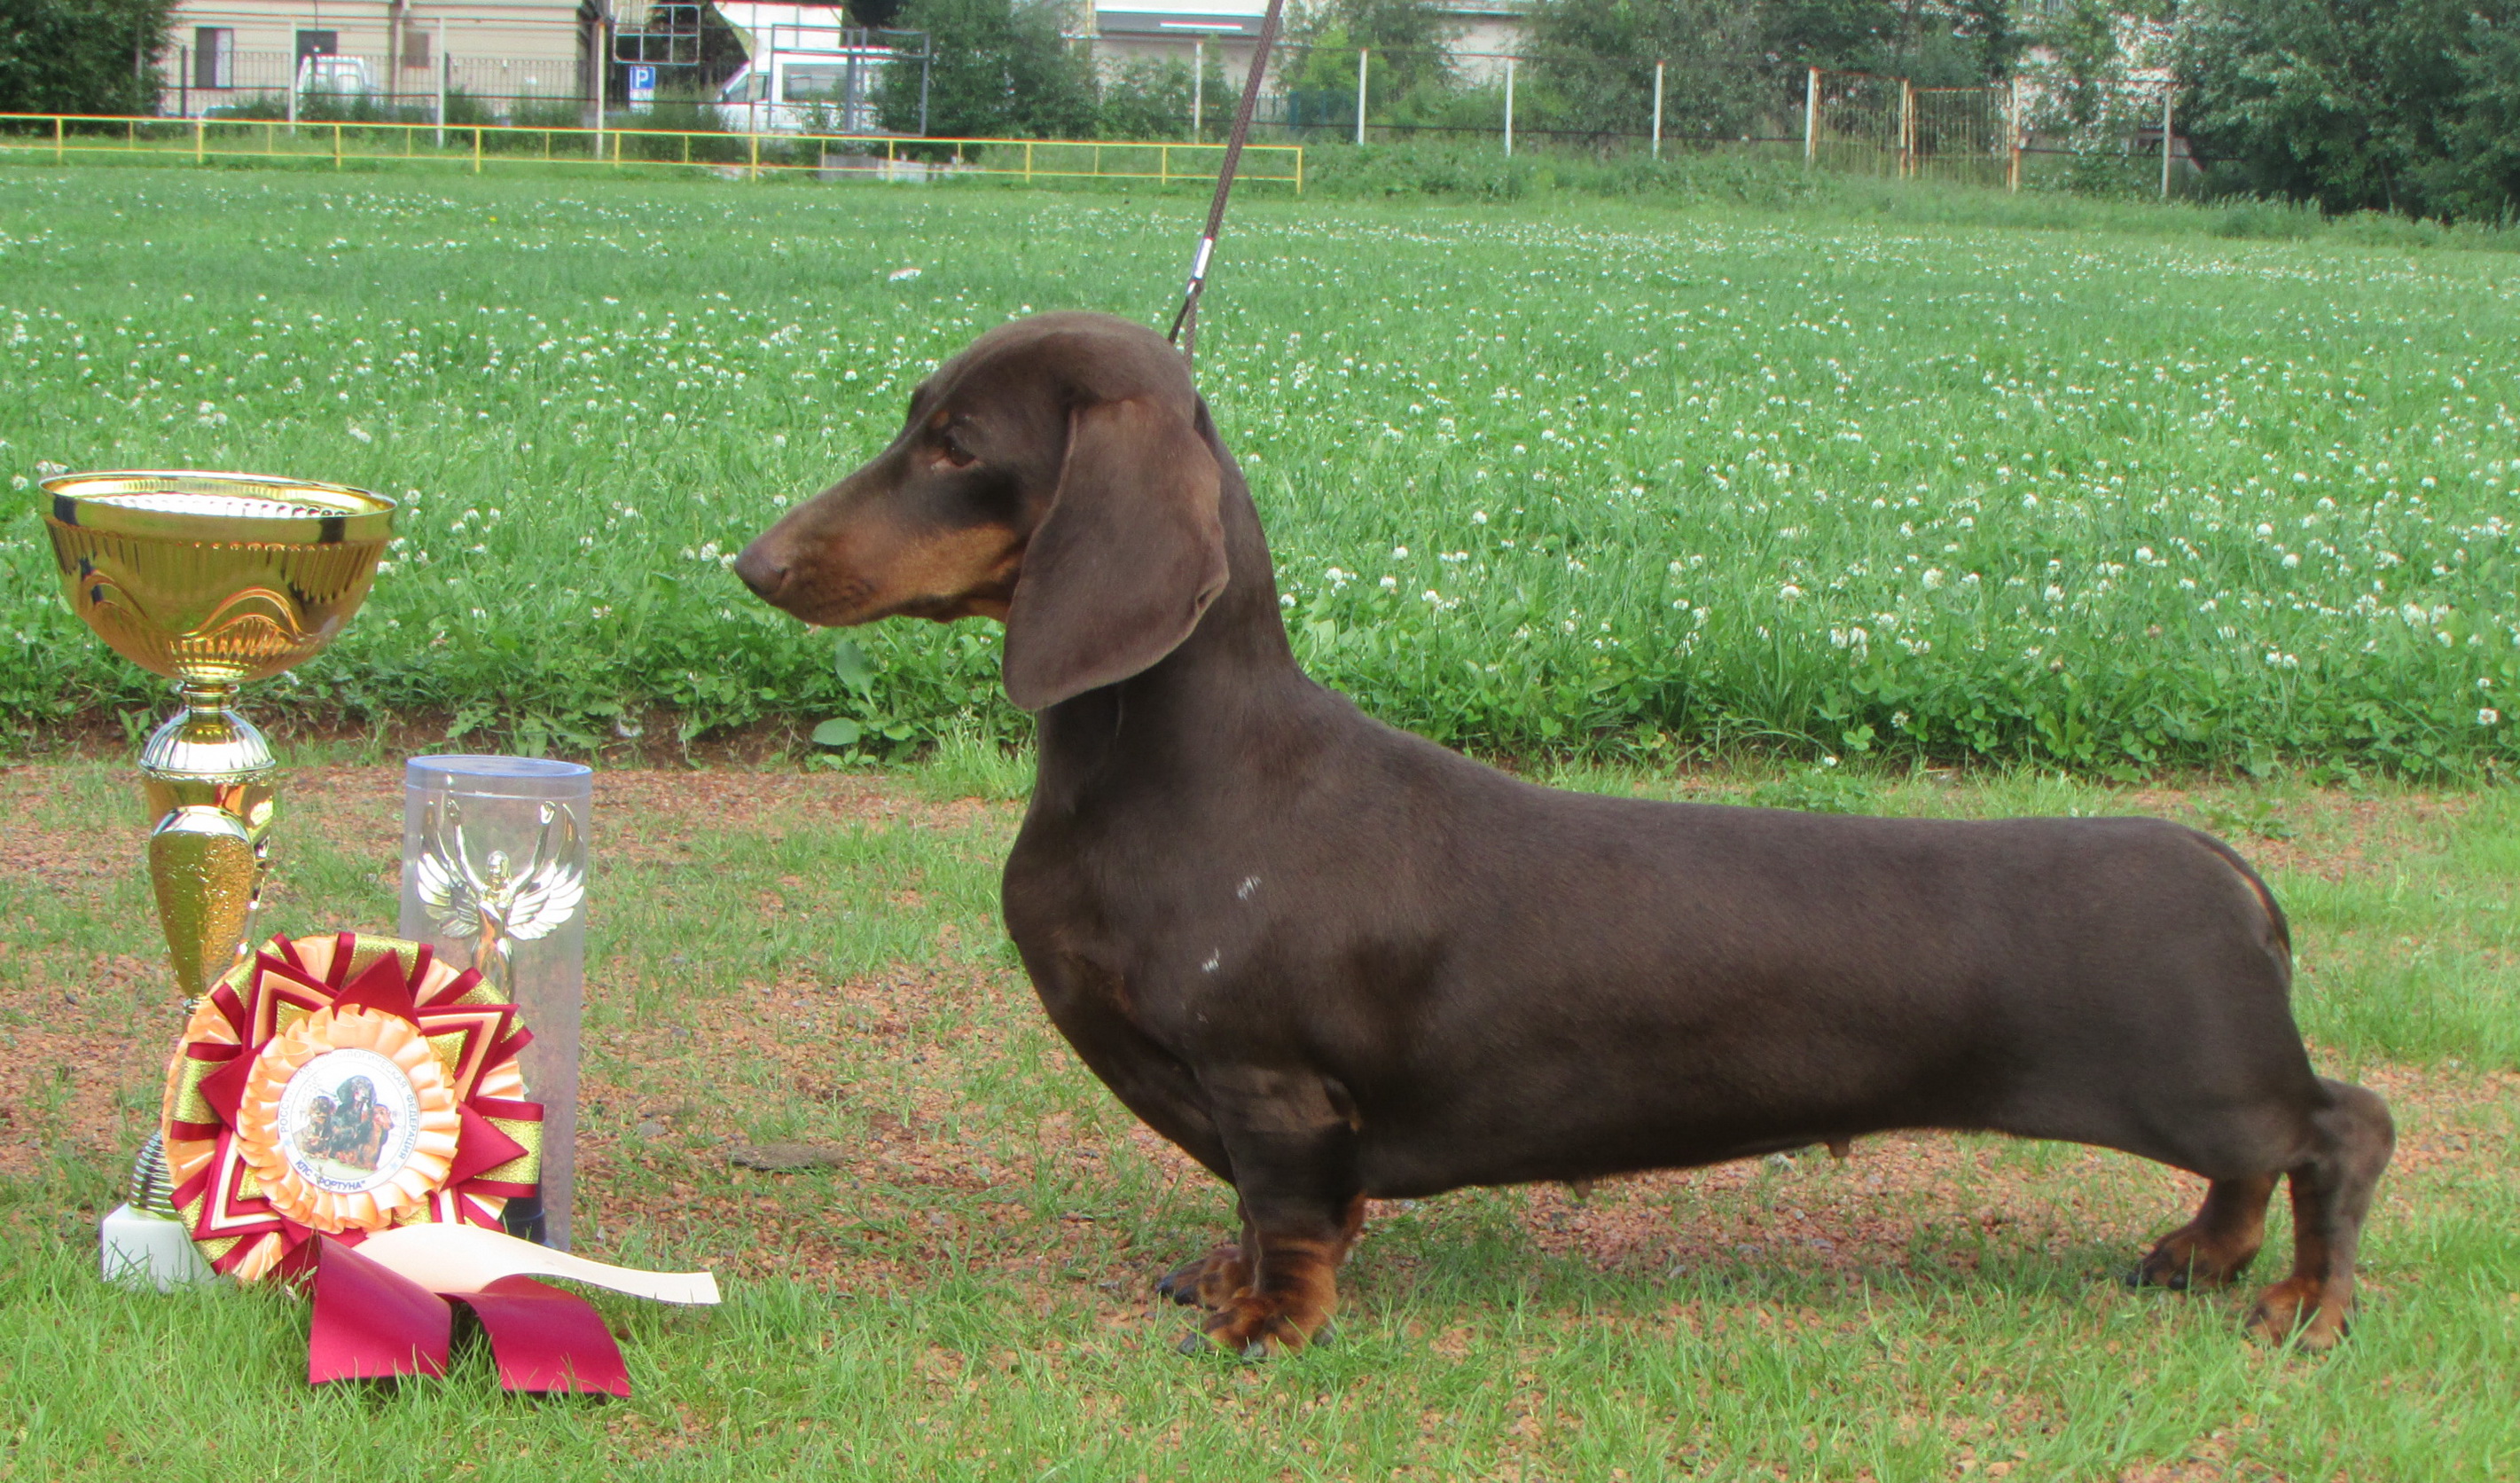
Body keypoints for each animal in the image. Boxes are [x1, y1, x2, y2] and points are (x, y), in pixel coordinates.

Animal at [735, 311, 2393, 1356]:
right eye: (915, 420)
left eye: (956, 442)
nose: (751, 562)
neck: (1180, 770)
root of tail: (2227, 869)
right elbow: (1255, 1213)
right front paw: (1223, 1274)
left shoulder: (1270, 1083)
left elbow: (1288, 1214)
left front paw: (1267, 1318)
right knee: (2270, 1161)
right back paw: (2199, 1255)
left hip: (2200, 1081)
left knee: (2338, 1129)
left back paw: (2300, 1303)